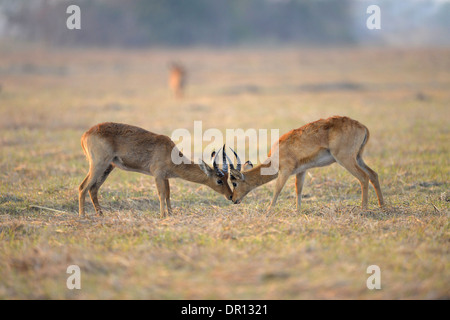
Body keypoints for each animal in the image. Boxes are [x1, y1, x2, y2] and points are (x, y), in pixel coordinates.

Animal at [78, 122, 232, 218]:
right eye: (219, 180)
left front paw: (170, 215)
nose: (231, 196)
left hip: (108, 167)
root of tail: (85, 134)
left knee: (93, 189)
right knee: (83, 187)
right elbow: (161, 194)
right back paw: (83, 216)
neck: (169, 152)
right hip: (98, 165)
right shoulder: (157, 175)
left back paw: (100, 214)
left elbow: (168, 195)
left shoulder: (166, 177)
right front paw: (162, 216)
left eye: (227, 177)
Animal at [230, 116, 384, 211]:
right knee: (373, 174)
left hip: (346, 159)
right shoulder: (301, 170)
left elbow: (277, 189)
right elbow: (299, 189)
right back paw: (382, 205)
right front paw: (297, 211)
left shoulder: (285, 171)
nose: (233, 199)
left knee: (364, 177)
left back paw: (363, 208)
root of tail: (363, 127)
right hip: (358, 157)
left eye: (235, 183)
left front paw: (268, 212)